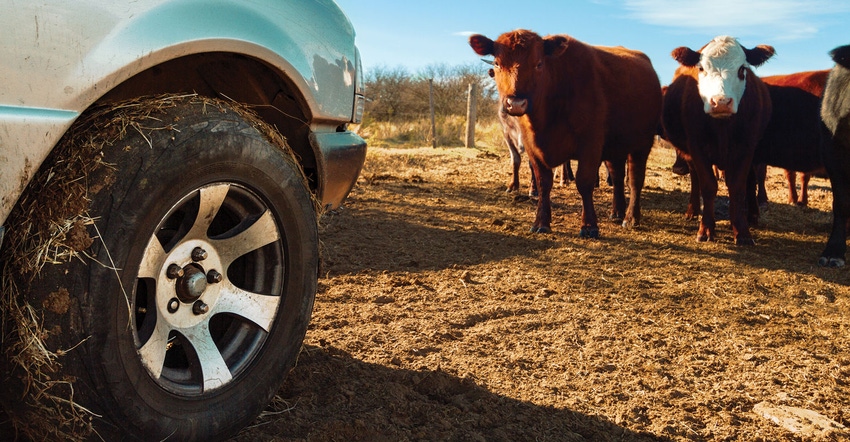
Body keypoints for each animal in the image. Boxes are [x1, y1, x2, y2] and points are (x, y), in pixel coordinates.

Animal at [470, 29, 664, 237]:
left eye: (539, 64)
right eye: (497, 63)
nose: (515, 104)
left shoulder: (590, 144)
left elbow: (584, 182)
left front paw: (589, 226)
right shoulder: (532, 147)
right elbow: (543, 183)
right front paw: (541, 222)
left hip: (642, 144)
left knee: (635, 180)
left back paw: (631, 218)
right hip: (616, 147)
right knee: (618, 177)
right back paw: (617, 212)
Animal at [664, 35, 776, 245]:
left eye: (742, 69)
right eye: (701, 68)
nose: (721, 102)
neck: (722, 128)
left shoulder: (746, 149)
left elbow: (738, 188)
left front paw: (742, 231)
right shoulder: (697, 149)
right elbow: (708, 186)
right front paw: (706, 229)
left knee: (751, 180)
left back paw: (752, 215)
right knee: (695, 180)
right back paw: (692, 211)